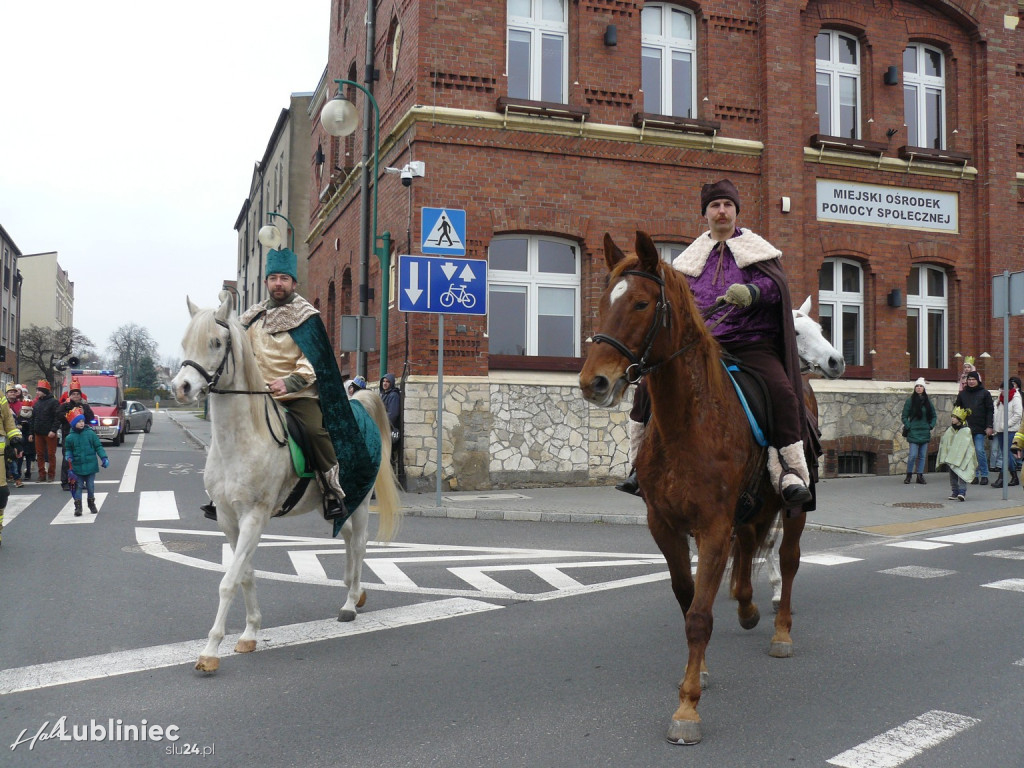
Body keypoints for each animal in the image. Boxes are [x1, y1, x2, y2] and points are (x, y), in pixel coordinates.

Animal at [169, 294, 397, 671]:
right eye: (185, 343)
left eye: (215, 343)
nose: (181, 389)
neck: (241, 439)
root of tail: (359, 403)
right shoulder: (228, 520)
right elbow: (245, 574)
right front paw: (249, 634)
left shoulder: (254, 517)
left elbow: (229, 581)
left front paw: (210, 651)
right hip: (337, 502)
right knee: (349, 539)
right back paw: (355, 590)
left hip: (362, 501)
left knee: (361, 543)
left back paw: (350, 603)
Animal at [581, 230, 802, 745]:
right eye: (604, 301)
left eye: (642, 303)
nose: (592, 382)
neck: (690, 421)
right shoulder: (664, 524)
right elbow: (687, 599)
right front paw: (697, 672)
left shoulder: (713, 526)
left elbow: (700, 615)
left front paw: (687, 709)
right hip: (752, 508)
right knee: (750, 551)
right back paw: (747, 608)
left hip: (793, 507)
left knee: (787, 560)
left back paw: (780, 631)